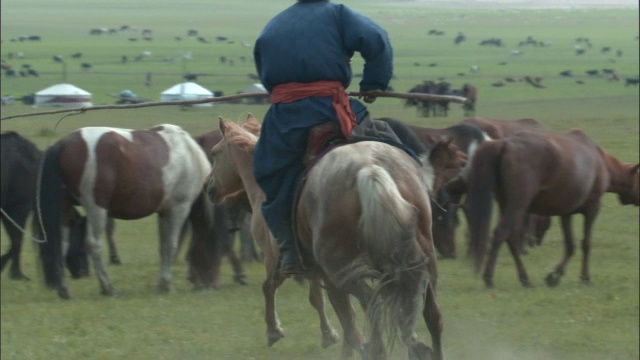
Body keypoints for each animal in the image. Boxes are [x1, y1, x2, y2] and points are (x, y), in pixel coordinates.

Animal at [36, 124, 211, 298]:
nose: (204, 286)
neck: (189, 154)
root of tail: (64, 144)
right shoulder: (178, 208)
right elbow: (171, 245)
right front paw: (167, 285)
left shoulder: (163, 212)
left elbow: (163, 246)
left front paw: (163, 283)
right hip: (96, 209)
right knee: (94, 245)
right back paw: (108, 288)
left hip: (65, 208)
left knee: (63, 243)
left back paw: (64, 289)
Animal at [206, 114, 464, 360]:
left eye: (216, 153)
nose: (209, 188)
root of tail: (369, 169)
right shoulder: (320, 273)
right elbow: (331, 307)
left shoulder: (281, 262)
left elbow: (272, 288)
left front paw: (275, 331)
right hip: (422, 264)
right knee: (431, 315)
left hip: (342, 272)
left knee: (373, 308)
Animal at [464, 128, 640, 288]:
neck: (599, 160)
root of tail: (505, 144)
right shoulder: (592, 208)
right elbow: (586, 244)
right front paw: (584, 277)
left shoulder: (566, 213)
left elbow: (570, 246)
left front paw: (555, 276)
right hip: (517, 206)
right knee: (501, 233)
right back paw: (489, 278)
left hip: (506, 205)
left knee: (511, 238)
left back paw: (524, 278)